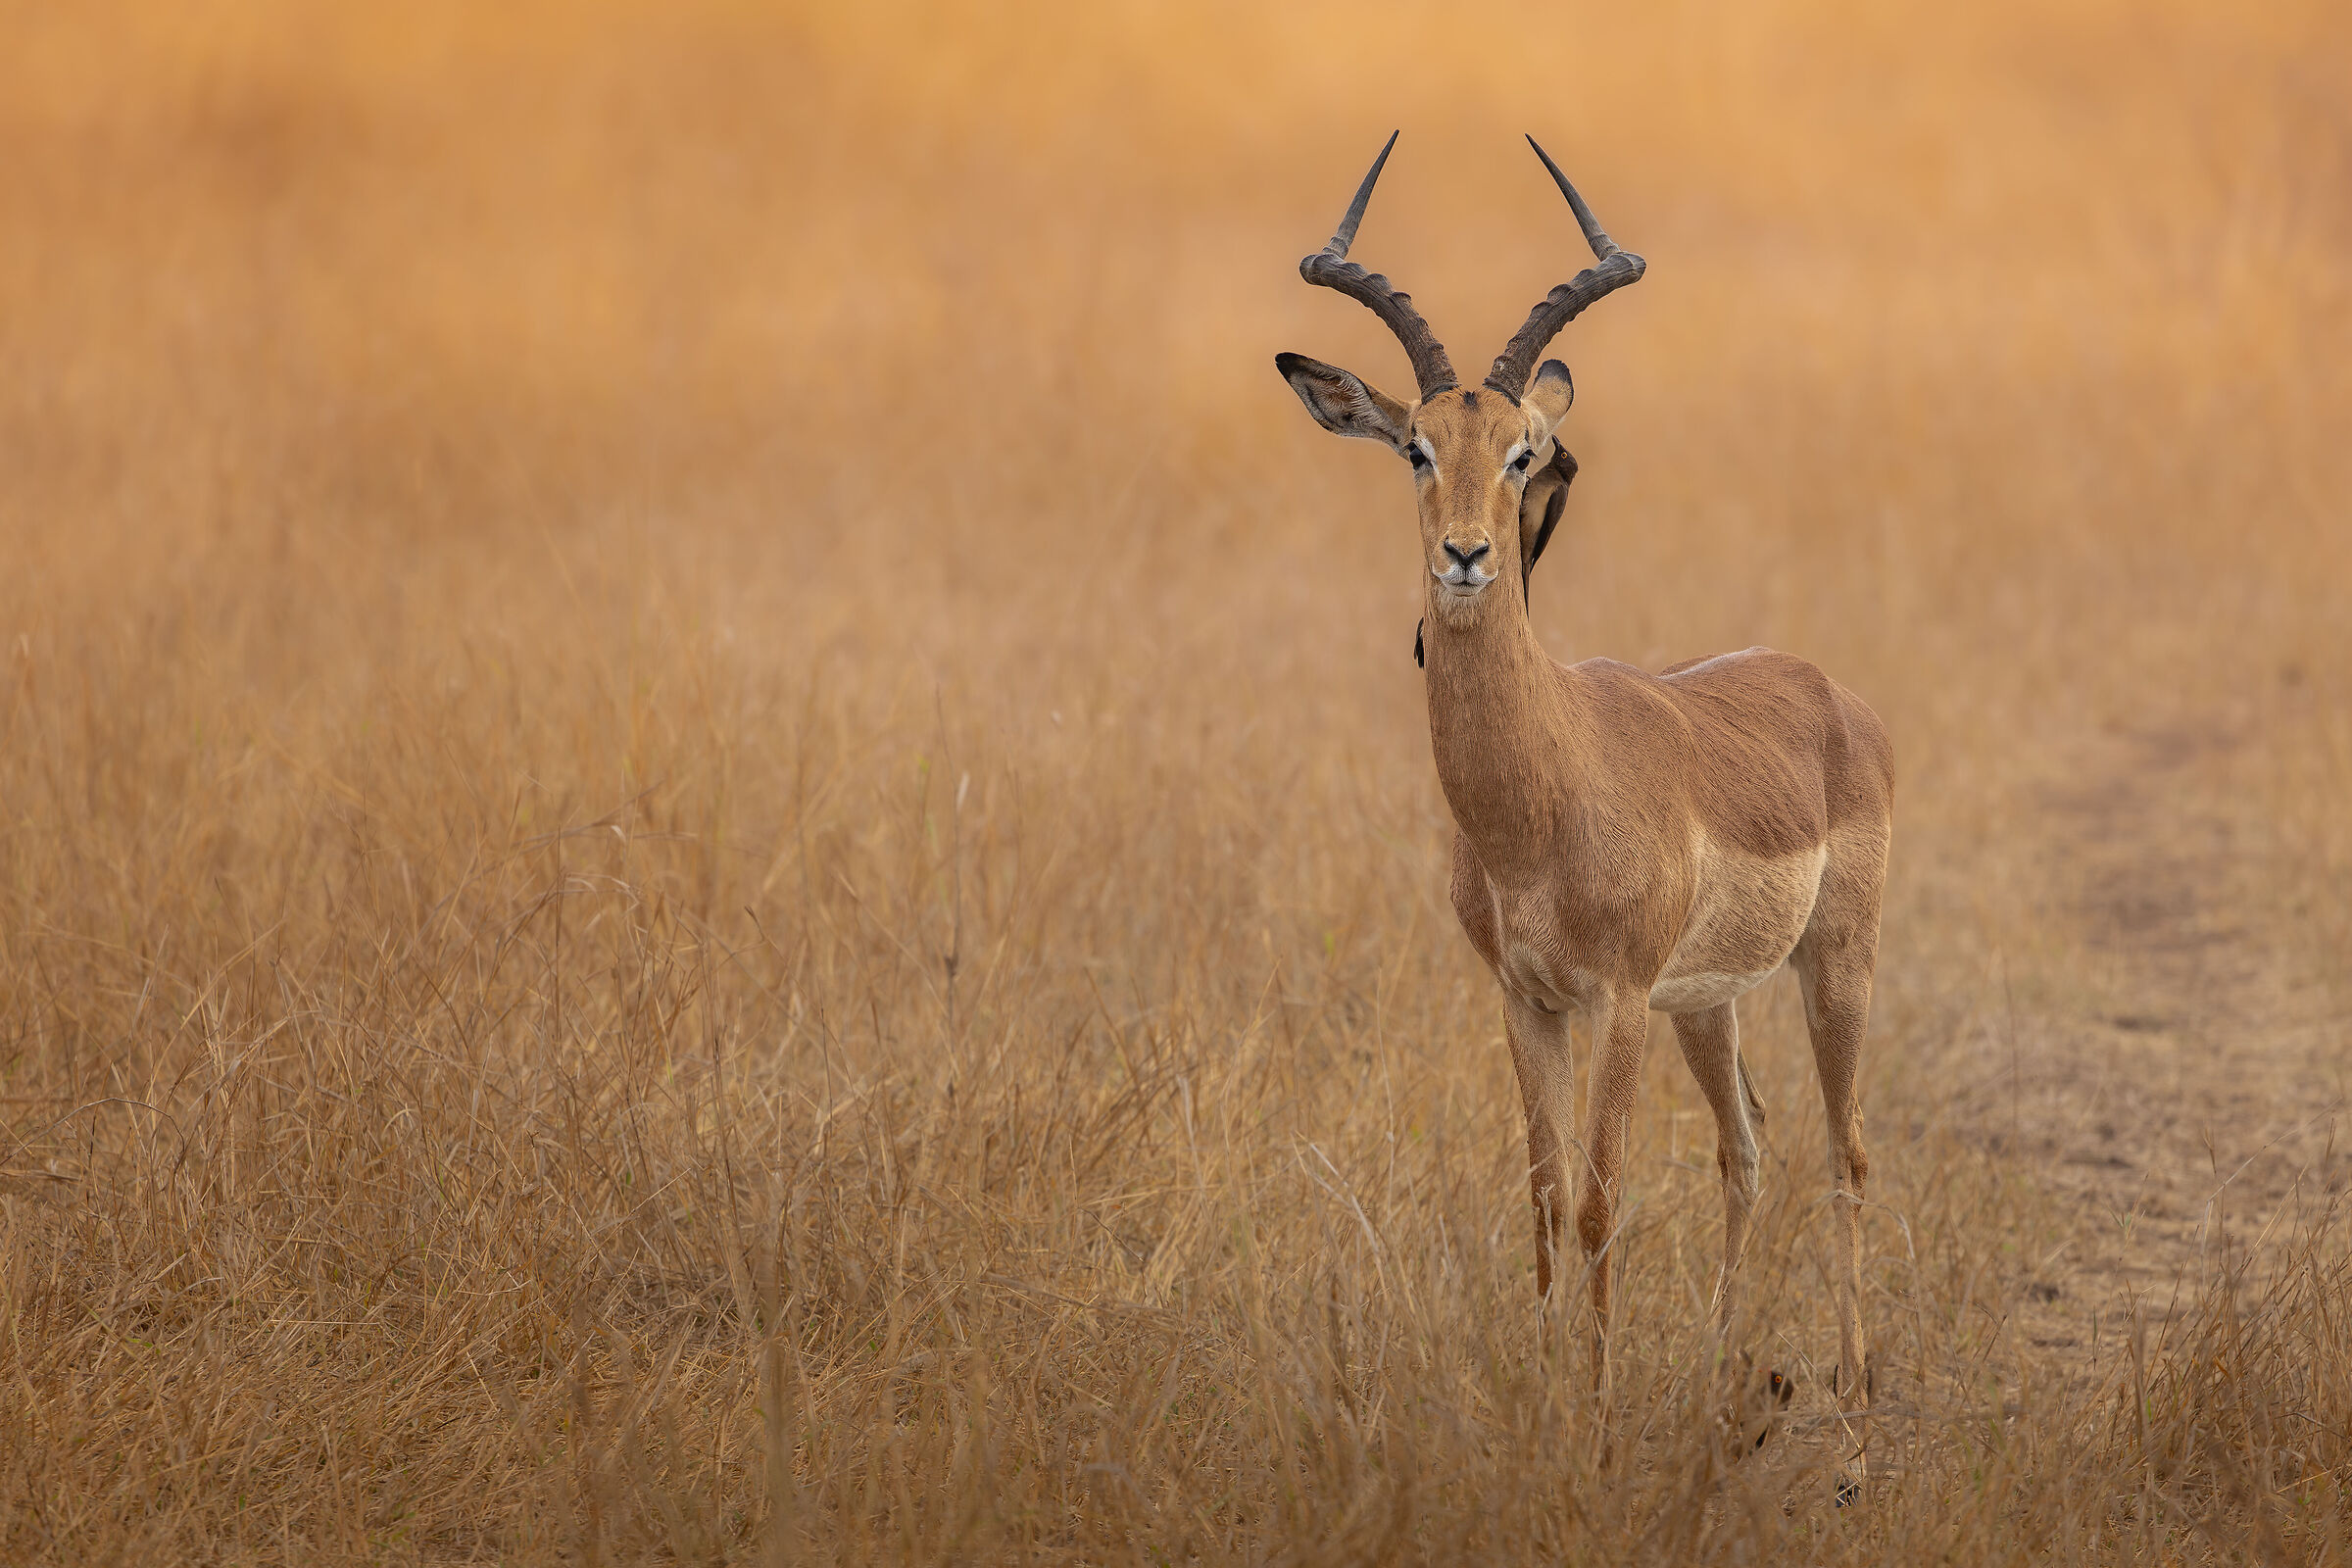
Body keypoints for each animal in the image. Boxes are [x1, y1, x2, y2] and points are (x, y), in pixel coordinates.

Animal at [1276, 135, 1893, 1438]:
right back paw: (1719, 1382)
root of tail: (1828, 689)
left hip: (1836, 962)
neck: (1546, 797)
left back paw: (1856, 1423)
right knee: (1748, 1147)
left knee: (1848, 1154)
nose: (1466, 555)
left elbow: (1606, 1200)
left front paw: (1594, 1424)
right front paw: (1552, 1398)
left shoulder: (1614, 1000)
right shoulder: (1528, 998)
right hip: (1707, 1001)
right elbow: (1547, 1201)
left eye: (1523, 454)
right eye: (1416, 447)